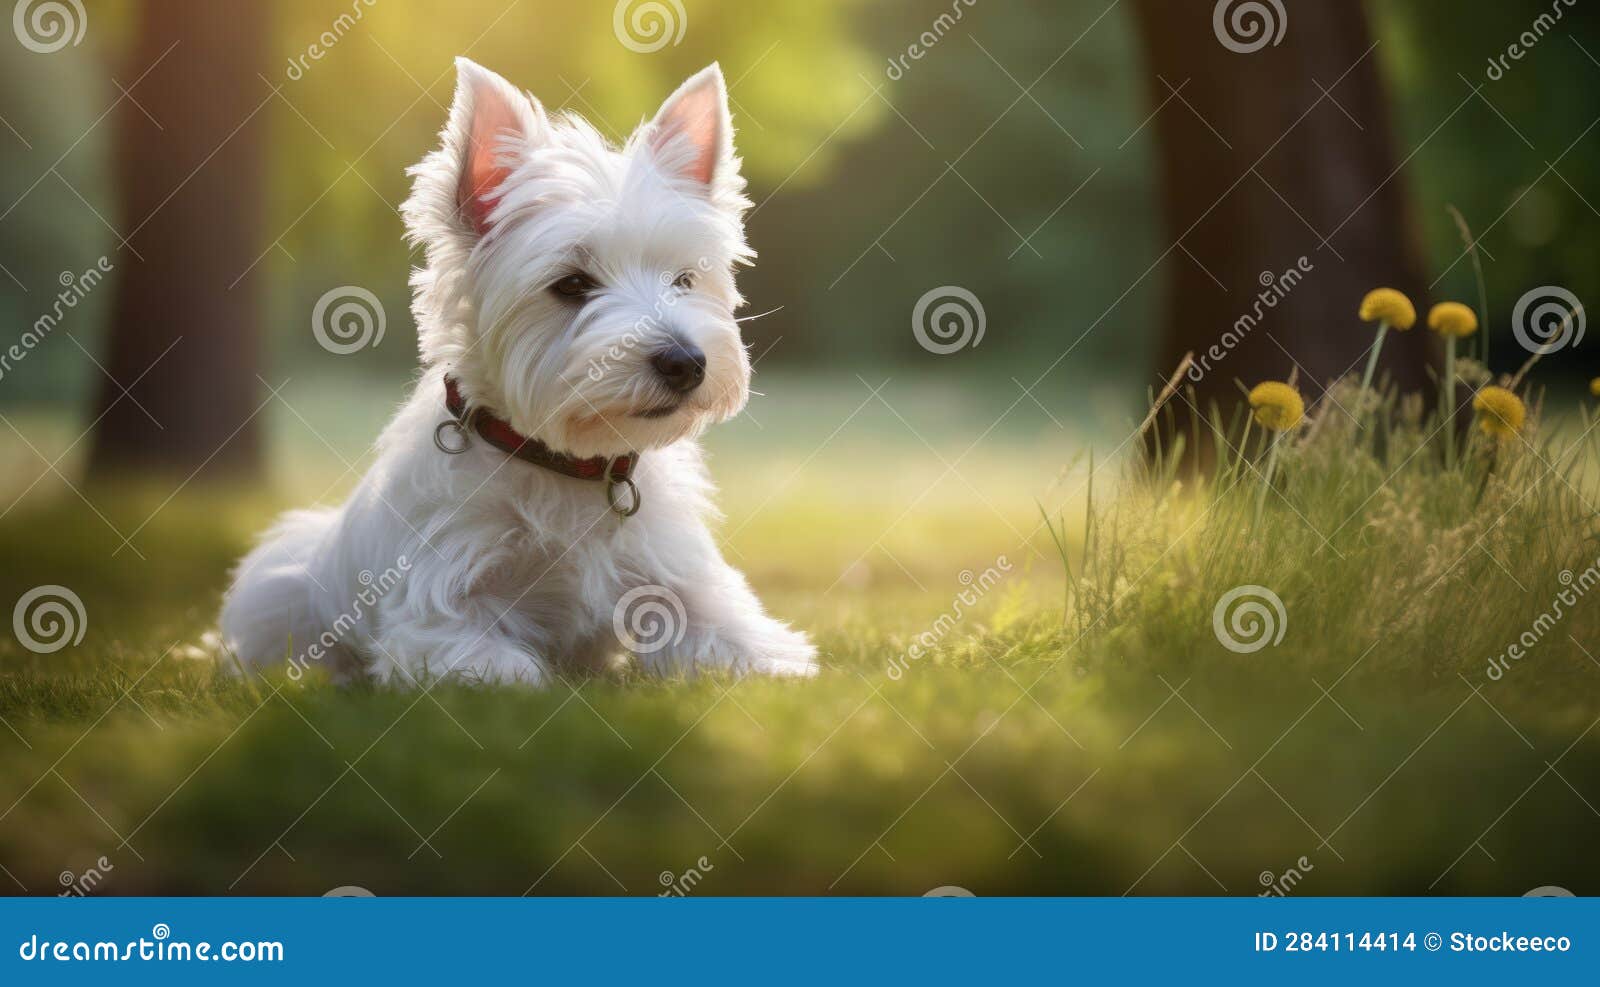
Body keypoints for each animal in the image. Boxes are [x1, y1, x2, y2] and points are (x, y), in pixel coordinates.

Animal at [220, 59, 819, 684]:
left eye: (684, 278)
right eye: (572, 284)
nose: (685, 362)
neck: (566, 464)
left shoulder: (681, 580)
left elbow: (736, 639)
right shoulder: (437, 610)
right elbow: (504, 667)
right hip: (277, 586)